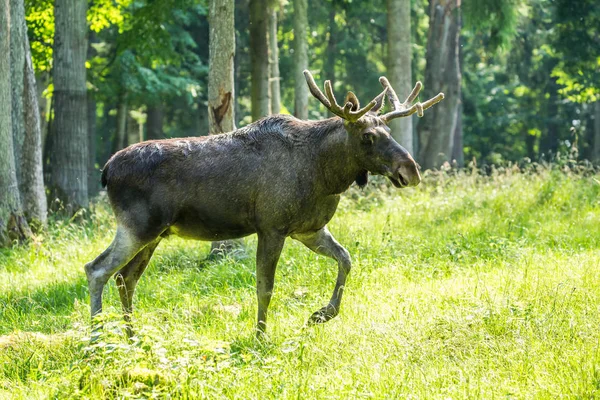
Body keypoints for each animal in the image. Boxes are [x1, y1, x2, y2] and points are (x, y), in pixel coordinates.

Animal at [84, 70, 442, 336]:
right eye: (368, 136)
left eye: (389, 131)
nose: (410, 170)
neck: (325, 175)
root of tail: (106, 171)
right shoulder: (271, 226)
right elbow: (265, 287)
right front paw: (260, 335)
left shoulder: (308, 229)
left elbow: (346, 259)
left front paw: (321, 314)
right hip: (136, 226)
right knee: (97, 269)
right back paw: (97, 338)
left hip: (155, 233)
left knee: (125, 277)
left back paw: (132, 336)